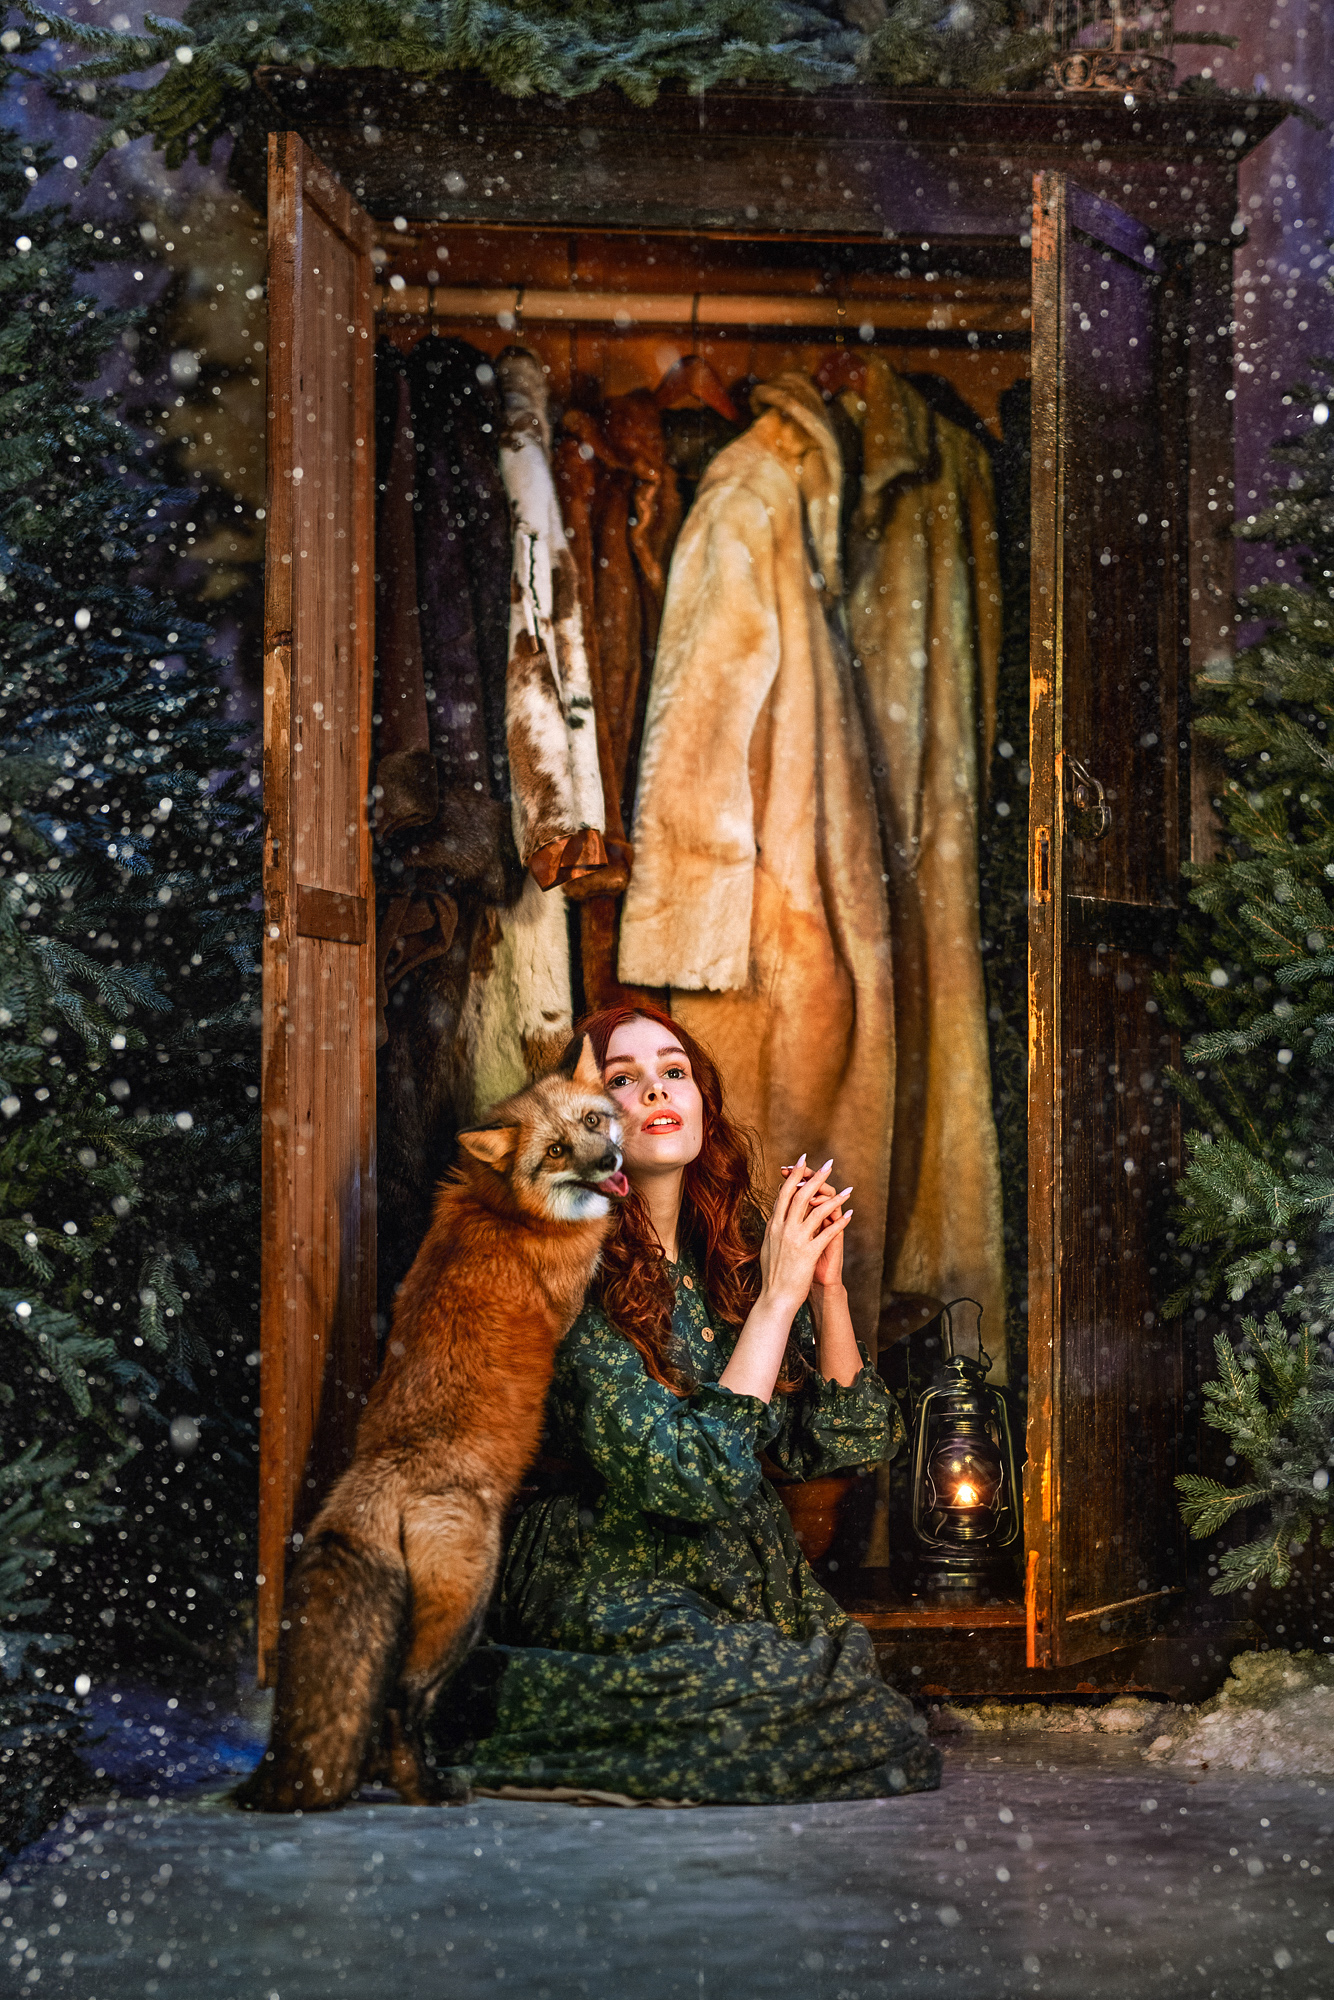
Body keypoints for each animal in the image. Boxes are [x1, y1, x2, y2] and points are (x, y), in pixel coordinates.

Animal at [235, 1035, 627, 1813]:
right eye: (557, 1150)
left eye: (594, 1122)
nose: (610, 1163)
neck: (508, 1210)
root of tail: (375, 1478)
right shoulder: (574, 1299)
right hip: (466, 1607)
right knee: (401, 1700)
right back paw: (430, 1788)